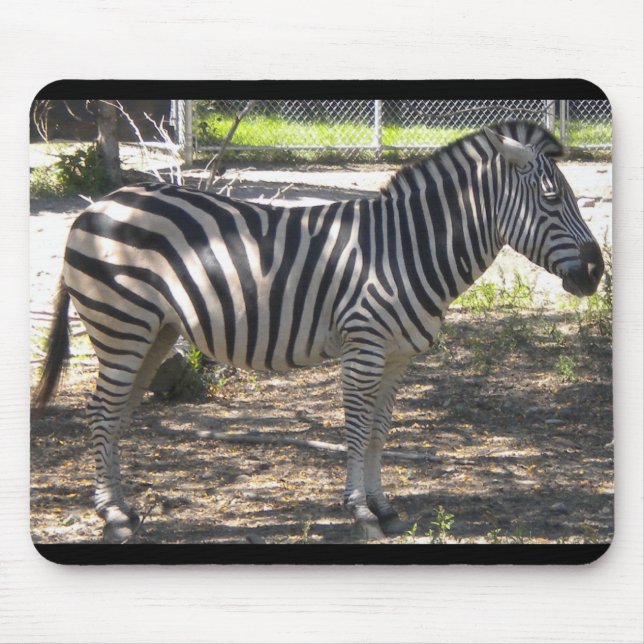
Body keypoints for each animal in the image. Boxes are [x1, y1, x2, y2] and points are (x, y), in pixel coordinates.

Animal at [33, 121, 604, 542]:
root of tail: (98, 205)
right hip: (120, 325)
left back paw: (123, 508)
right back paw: (112, 515)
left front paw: (384, 507)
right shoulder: (364, 348)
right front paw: (361, 513)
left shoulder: (396, 357)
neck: (406, 248)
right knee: (101, 413)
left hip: (154, 333)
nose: (597, 272)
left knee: (119, 413)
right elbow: (356, 430)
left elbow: (380, 432)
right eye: (552, 200)